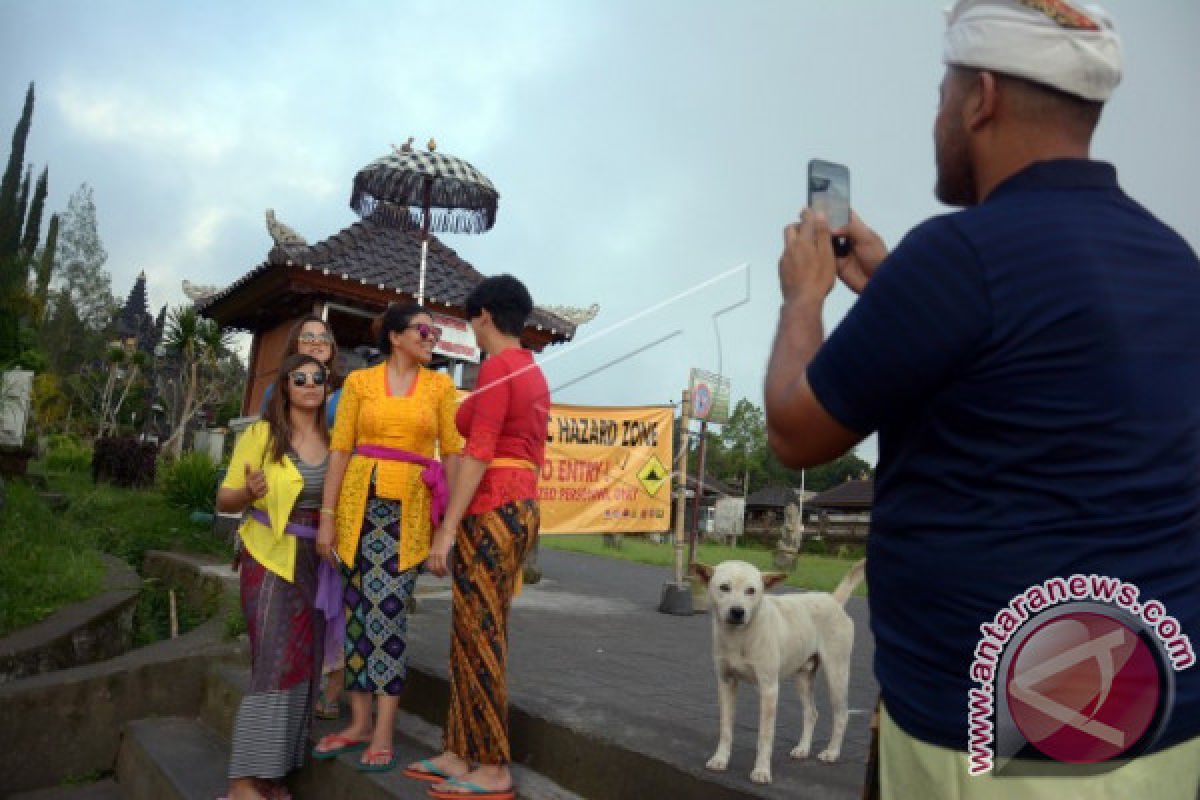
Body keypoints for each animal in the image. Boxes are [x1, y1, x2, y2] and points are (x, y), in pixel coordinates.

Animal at [696, 561, 864, 786]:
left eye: (751, 591)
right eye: (724, 587)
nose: (738, 612)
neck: (741, 636)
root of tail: (833, 600)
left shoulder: (769, 689)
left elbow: (765, 736)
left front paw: (761, 770)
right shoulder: (726, 683)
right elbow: (725, 728)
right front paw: (720, 759)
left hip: (837, 674)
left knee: (841, 715)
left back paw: (832, 752)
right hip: (803, 678)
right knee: (811, 713)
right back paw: (803, 749)